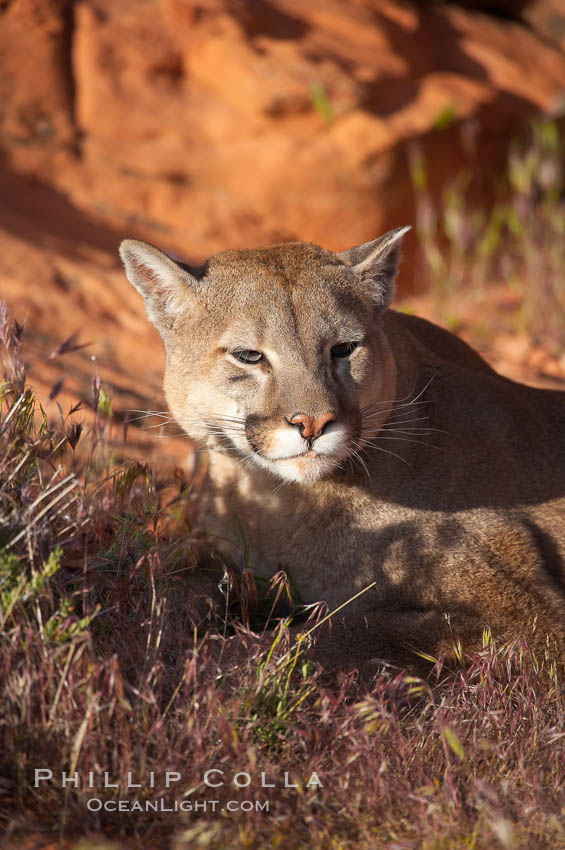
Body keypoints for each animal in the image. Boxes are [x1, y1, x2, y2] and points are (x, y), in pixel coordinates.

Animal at [120, 229, 564, 672]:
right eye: (248, 355)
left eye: (344, 348)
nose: (313, 423)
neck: (282, 503)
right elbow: (174, 574)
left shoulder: (528, 617)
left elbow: (346, 631)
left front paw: (228, 661)